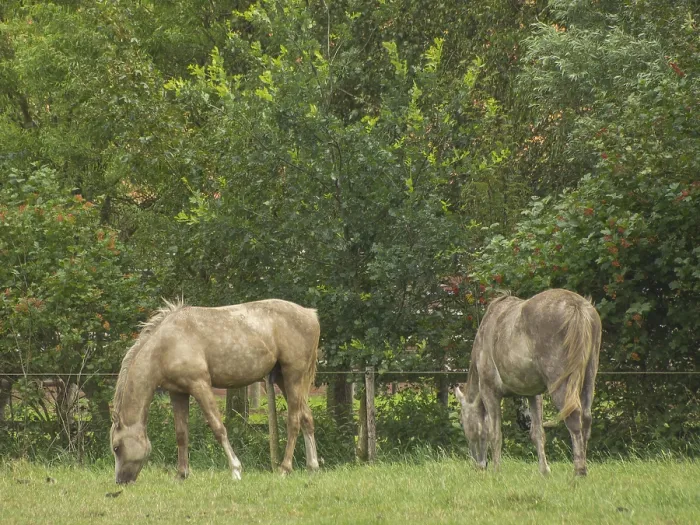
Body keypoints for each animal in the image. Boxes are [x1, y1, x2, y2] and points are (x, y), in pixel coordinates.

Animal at [110, 298, 320, 484]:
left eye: (117, 447)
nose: (120, 481)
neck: (165, 345)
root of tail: (311, 314)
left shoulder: (200, 385)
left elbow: (218, 427)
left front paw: (235, 470)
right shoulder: (178, 393)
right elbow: (181, 433)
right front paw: (181, 474)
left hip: (293, 376)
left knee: (294, 420)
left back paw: (285, 469)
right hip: (284, 379)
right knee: (306, 418)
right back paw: (312, 467)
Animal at [454, 289, 601, 476]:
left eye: (463, 422)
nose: (478, 465)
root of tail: (576, 305)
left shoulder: (489, 392)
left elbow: (494, 433)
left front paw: (496, 471)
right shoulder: (533, 394)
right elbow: (537, 433)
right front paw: (544, 471)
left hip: (561, 382)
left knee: (574, 417)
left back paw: (579, 471)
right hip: (589, 377)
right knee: (586, 419)